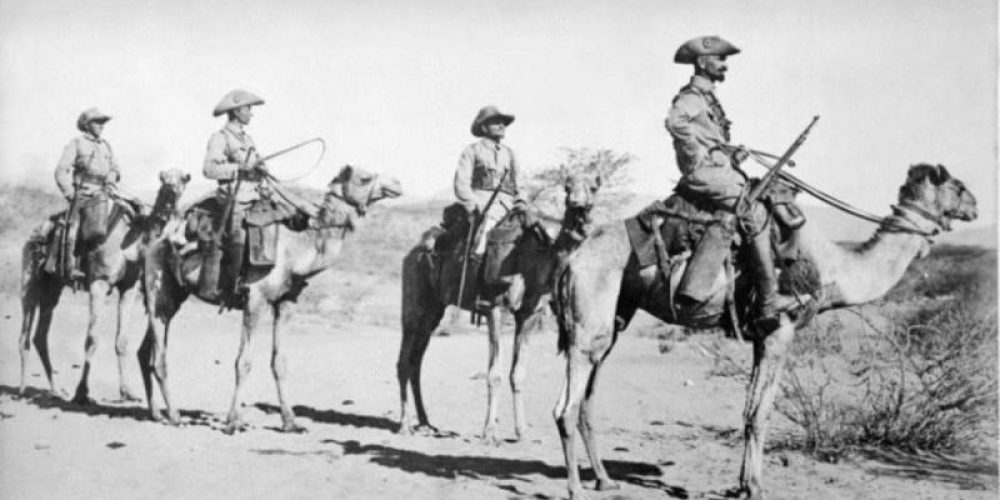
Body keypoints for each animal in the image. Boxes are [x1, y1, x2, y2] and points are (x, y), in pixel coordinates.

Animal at [19, 170, 191, 404]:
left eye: (183, 178)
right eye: (164, 179)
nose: (172, 189)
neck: (132, 238)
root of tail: (33, 234)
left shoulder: (129, 287)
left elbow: (122, 340)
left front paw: (127, 392)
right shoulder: (98, 282)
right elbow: (92, 338)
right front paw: (82, 392)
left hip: (51, 289)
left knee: (40, 336)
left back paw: (55, 391)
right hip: (30, 281)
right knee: (25, 333)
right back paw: (22, 389)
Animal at [139, 165, 402, 433]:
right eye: (364, 178)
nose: (397, 184)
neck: (295, 251)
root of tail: (156, 239)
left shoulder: (285, 303)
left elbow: (279, 362)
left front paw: (291, 422)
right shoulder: (255, 299)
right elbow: (243, 362)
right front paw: (233, 422)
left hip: (172, 297)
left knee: (146, 351)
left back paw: (157, 413)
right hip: (159, 290)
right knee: (159, 357)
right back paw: (175, 416)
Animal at [396, 172, 601, 441]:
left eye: (594, 188)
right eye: (567, 188)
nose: (579, 207)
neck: (531, 260)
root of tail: (414, 252)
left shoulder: (529, 315)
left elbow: (518, 374)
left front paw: (522, 431)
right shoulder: (494, 308)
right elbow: (494, 374)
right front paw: (490, 432)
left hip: (434, 310)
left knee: (416, 362)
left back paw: (425, 422)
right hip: (414, 302)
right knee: (404, 360)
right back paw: (405, 425)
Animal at [551, 163, 977, 500]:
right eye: (957, 185)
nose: (974, 205)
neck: (834, 268)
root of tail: (572, 259)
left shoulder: (761, 336)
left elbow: (749, 410)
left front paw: (741, 485)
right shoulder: (780, 333)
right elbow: (761, 414)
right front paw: (755, 488)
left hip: (615, 317)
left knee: (588, 396)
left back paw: (604, 481)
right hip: (590, 317)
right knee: (565, 405)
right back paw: (575, 489)